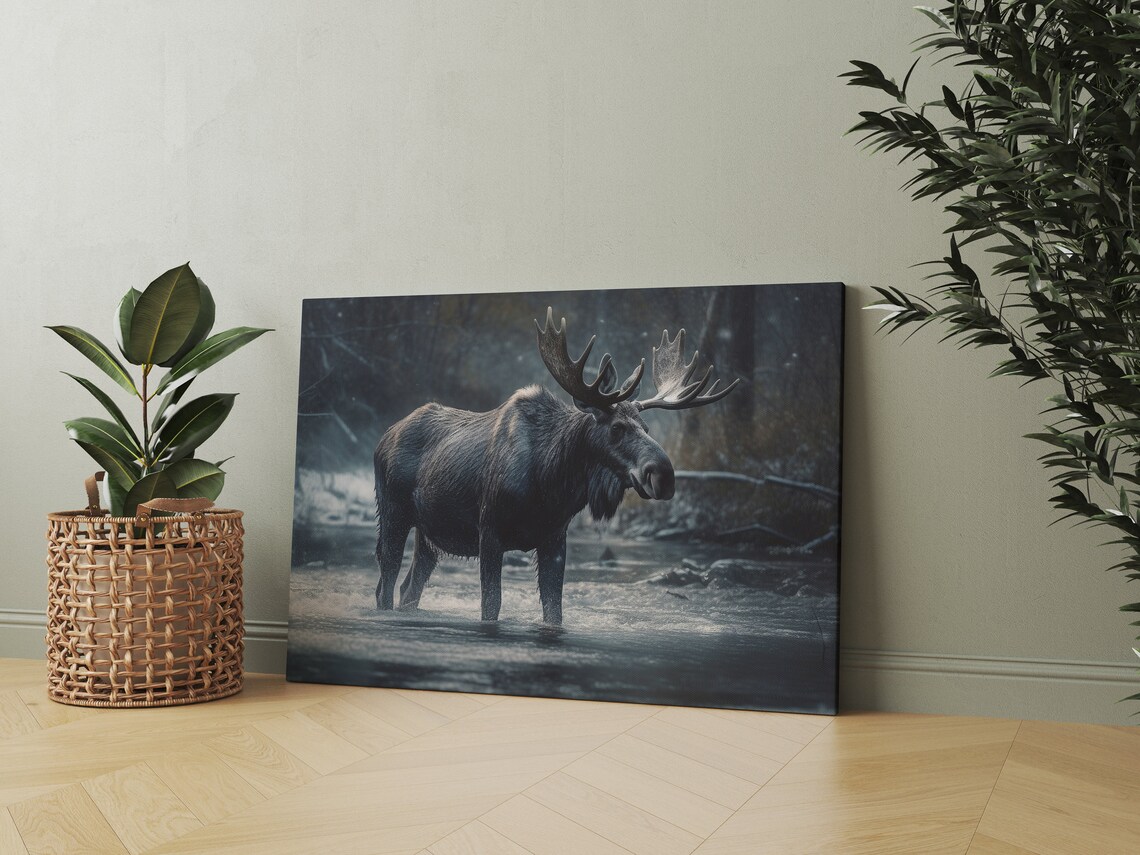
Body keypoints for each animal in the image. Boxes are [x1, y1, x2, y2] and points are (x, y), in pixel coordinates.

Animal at [373, 307, 740, 625]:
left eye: (646, 428)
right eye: (616, 428)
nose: (663, 475)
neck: (550, 484)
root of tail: (384, 437)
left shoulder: (554, 537)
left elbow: (554, 610)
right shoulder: (489, 530)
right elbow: (491, 605)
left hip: (429, 533)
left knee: (410, 586)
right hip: (393, 512)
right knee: (385, 582)